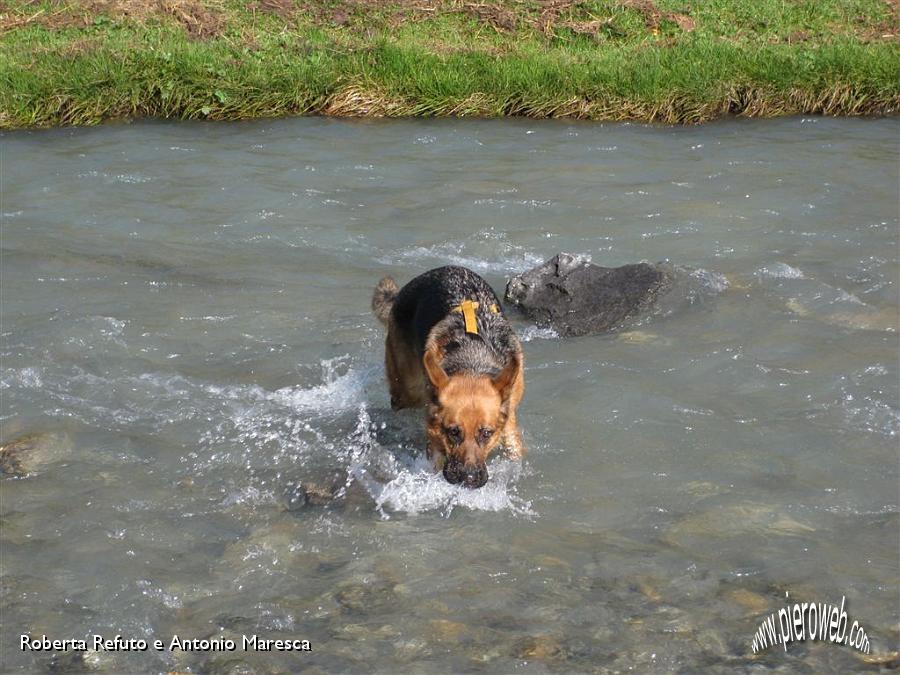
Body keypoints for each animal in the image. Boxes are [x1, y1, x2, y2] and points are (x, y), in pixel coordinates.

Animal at [372, 266, 528, 492]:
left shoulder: (509, 417)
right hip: (409, 391)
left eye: (486, 433)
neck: (473, 361)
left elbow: (513, 446)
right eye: (453, 432)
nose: (469, 478)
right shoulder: (434, 433)